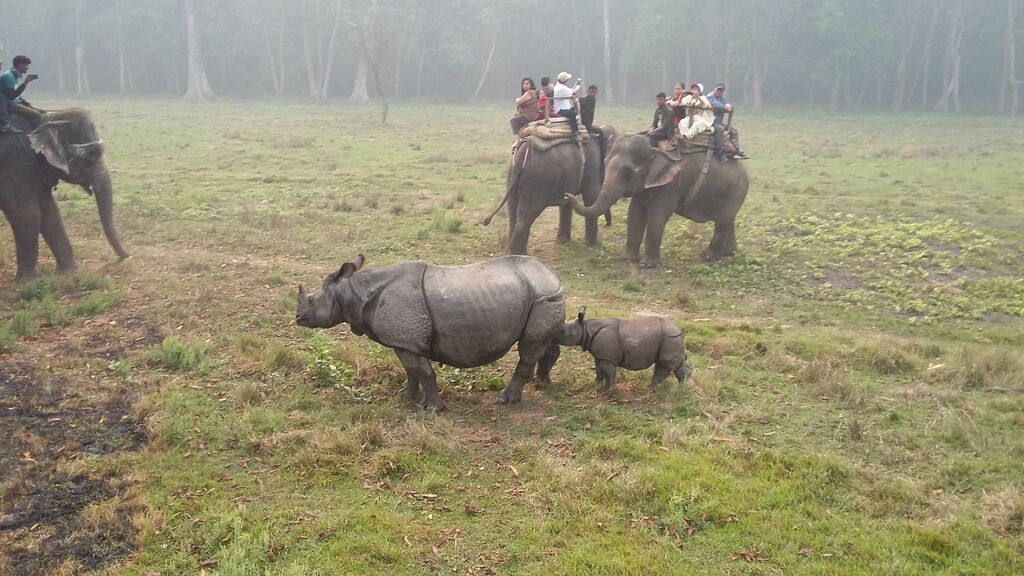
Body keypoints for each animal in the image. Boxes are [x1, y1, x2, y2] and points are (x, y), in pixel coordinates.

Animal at [296, 254, 565, 412]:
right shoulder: (405, 342)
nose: (298, 318)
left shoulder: (408, 339)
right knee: (547, 343)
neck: (352, 291)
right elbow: (411, 371)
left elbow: (425, 373)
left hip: (542, 297)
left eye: (311, 301)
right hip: (545, 296)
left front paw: (432, 410)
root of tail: (552, 275)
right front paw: (406, 397)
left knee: (528, 349)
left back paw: (505, 400)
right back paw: (542, 382)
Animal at [556, 307, 692, 393]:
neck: (585, 328)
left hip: (670, 337)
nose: (553, 336)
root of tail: (679, 331)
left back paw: (680, 390)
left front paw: (609, 393)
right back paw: (651, 388)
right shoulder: (601, 356)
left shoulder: (608, 358)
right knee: (662, 364)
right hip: (669, 338)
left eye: (563, 332)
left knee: (667, 363)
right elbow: (599, 372)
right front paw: (598, 388)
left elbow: (609, 374)